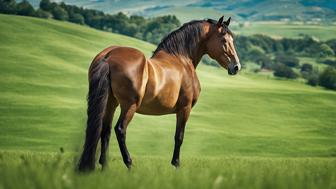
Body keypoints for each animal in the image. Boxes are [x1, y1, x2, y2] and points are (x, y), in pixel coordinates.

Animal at [78, 15, 242, 171]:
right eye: (224, 40)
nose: (236, 67)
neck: (181, 59)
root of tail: (109, 56)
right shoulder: (184, 109)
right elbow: (179, 137)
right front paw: (176, 164)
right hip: (129, 106)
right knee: (120, 129)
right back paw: (129, 164)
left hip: (110, 103)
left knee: (105, 131)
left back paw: (105, 167)